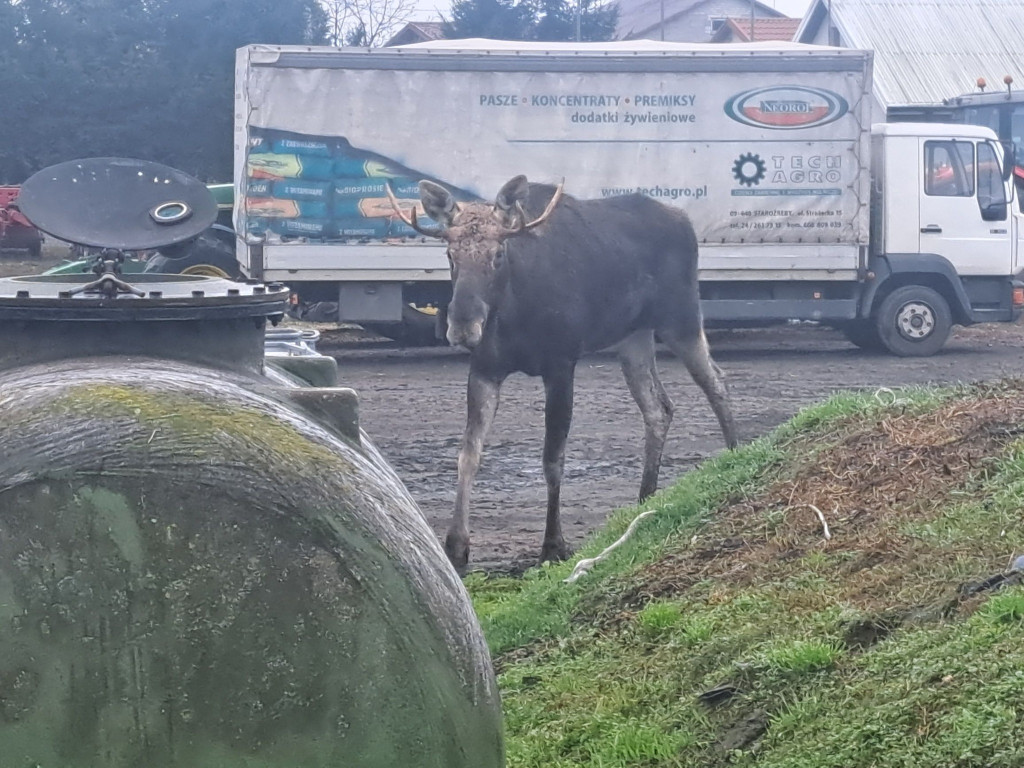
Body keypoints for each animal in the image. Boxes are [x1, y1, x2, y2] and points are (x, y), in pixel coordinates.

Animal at [389, 176, 737, 573]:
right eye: (450, 256)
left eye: (498, 254)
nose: (462, 327)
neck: (514, 311)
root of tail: (684, 221)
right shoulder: (484, 369)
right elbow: (468, 454)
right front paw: (456, 547)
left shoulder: (560, 364)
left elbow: (552, 458)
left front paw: (553, 545)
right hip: (633, 337)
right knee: (658, 407)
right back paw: (644, 497)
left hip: (681, 319)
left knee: (716, 381)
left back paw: (735, 453)